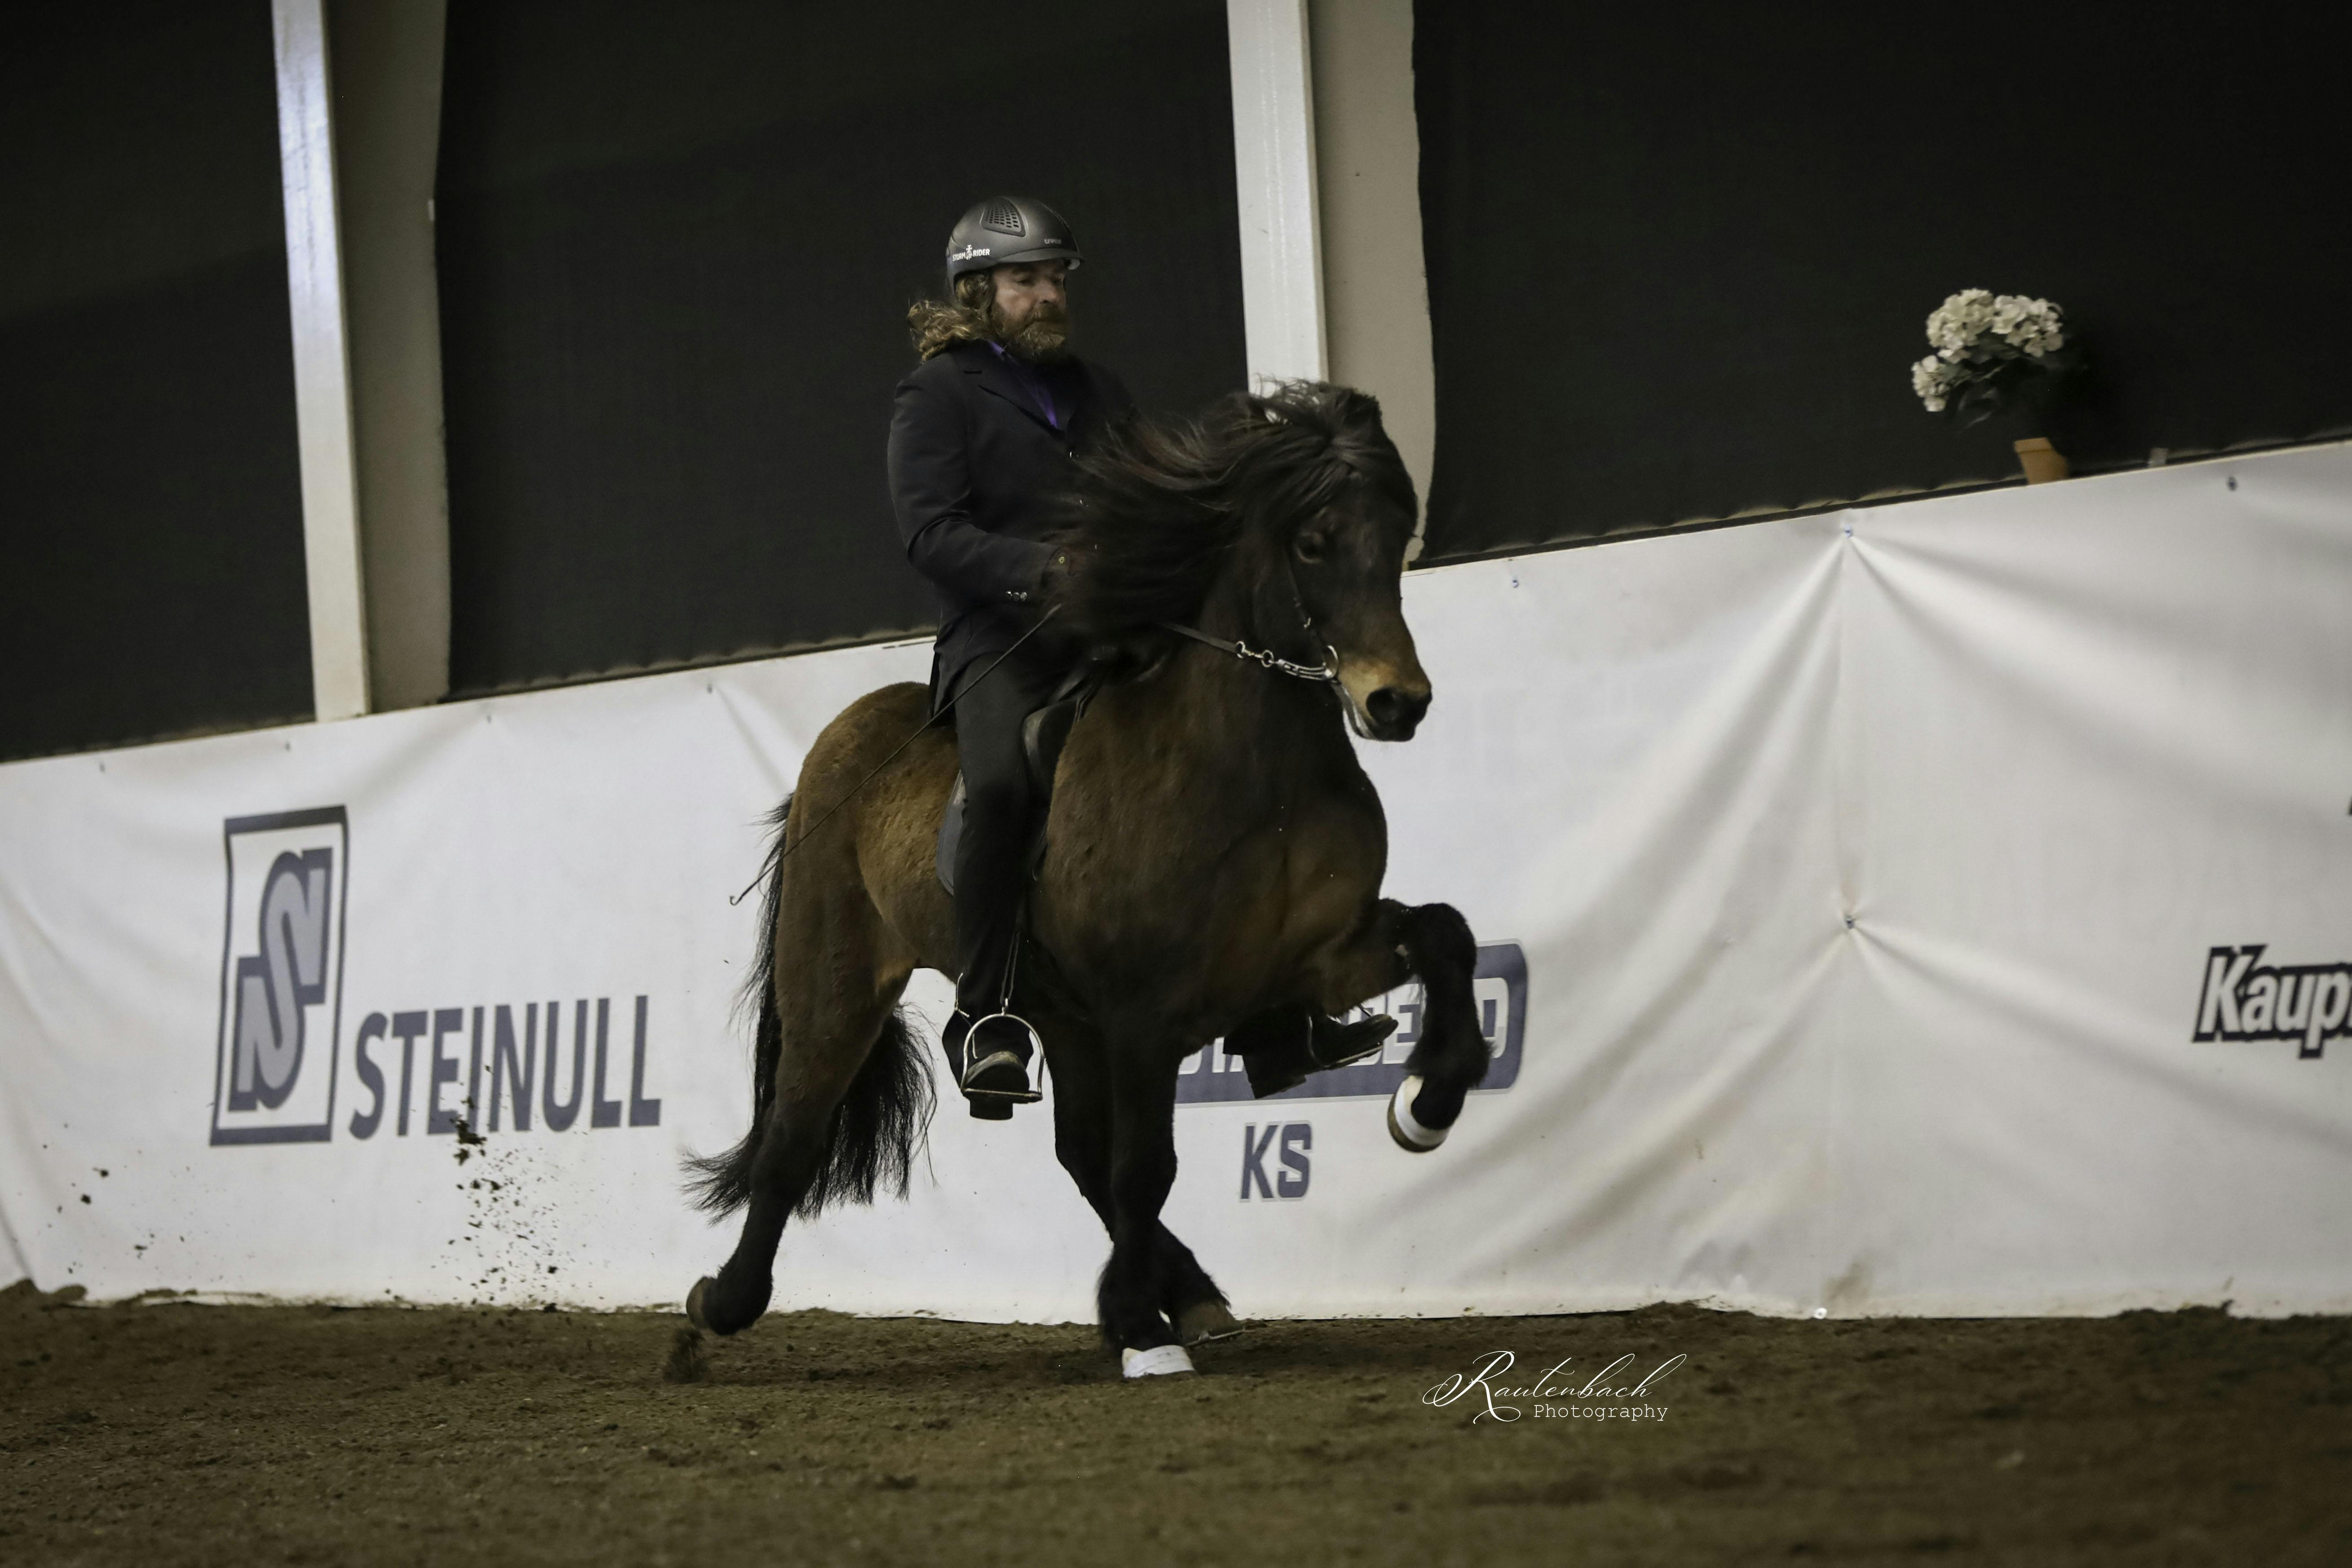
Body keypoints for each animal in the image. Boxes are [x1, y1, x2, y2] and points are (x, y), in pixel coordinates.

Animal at [682, 380, 1486, 1373]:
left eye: (1399, 529)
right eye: (1312, 542)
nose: (1396, 702)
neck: (1251, 770)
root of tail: (846, 736)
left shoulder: (1314, 959)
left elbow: (1445, 932)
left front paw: (1431, 1101)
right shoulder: (1144, 1012)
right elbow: (1145, 1165)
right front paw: (1140, 1331)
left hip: (1062, 1016)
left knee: (1075, 1151)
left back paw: (1193, 1294)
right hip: (836, 982)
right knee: (794, 1138)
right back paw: (722, 1302)